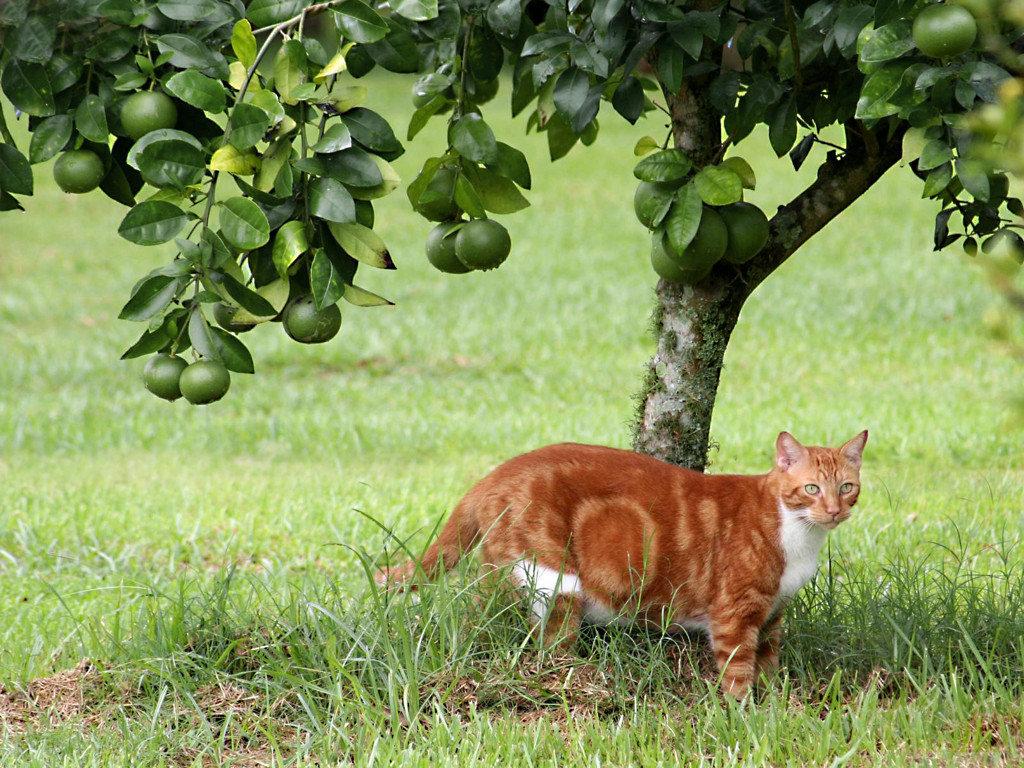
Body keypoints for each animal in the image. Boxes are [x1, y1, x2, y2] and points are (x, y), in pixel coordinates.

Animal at [380, 434, 868, 696]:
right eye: (810, 489)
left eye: (846, 487)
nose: (833, 511)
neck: (800, 536)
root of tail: (492, 476)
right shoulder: (735, 612)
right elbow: (737, 671)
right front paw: (745, 713)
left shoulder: (772, 613)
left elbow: (766, 662)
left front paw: (771, 701)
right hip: (554, 579)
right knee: (533, 638)